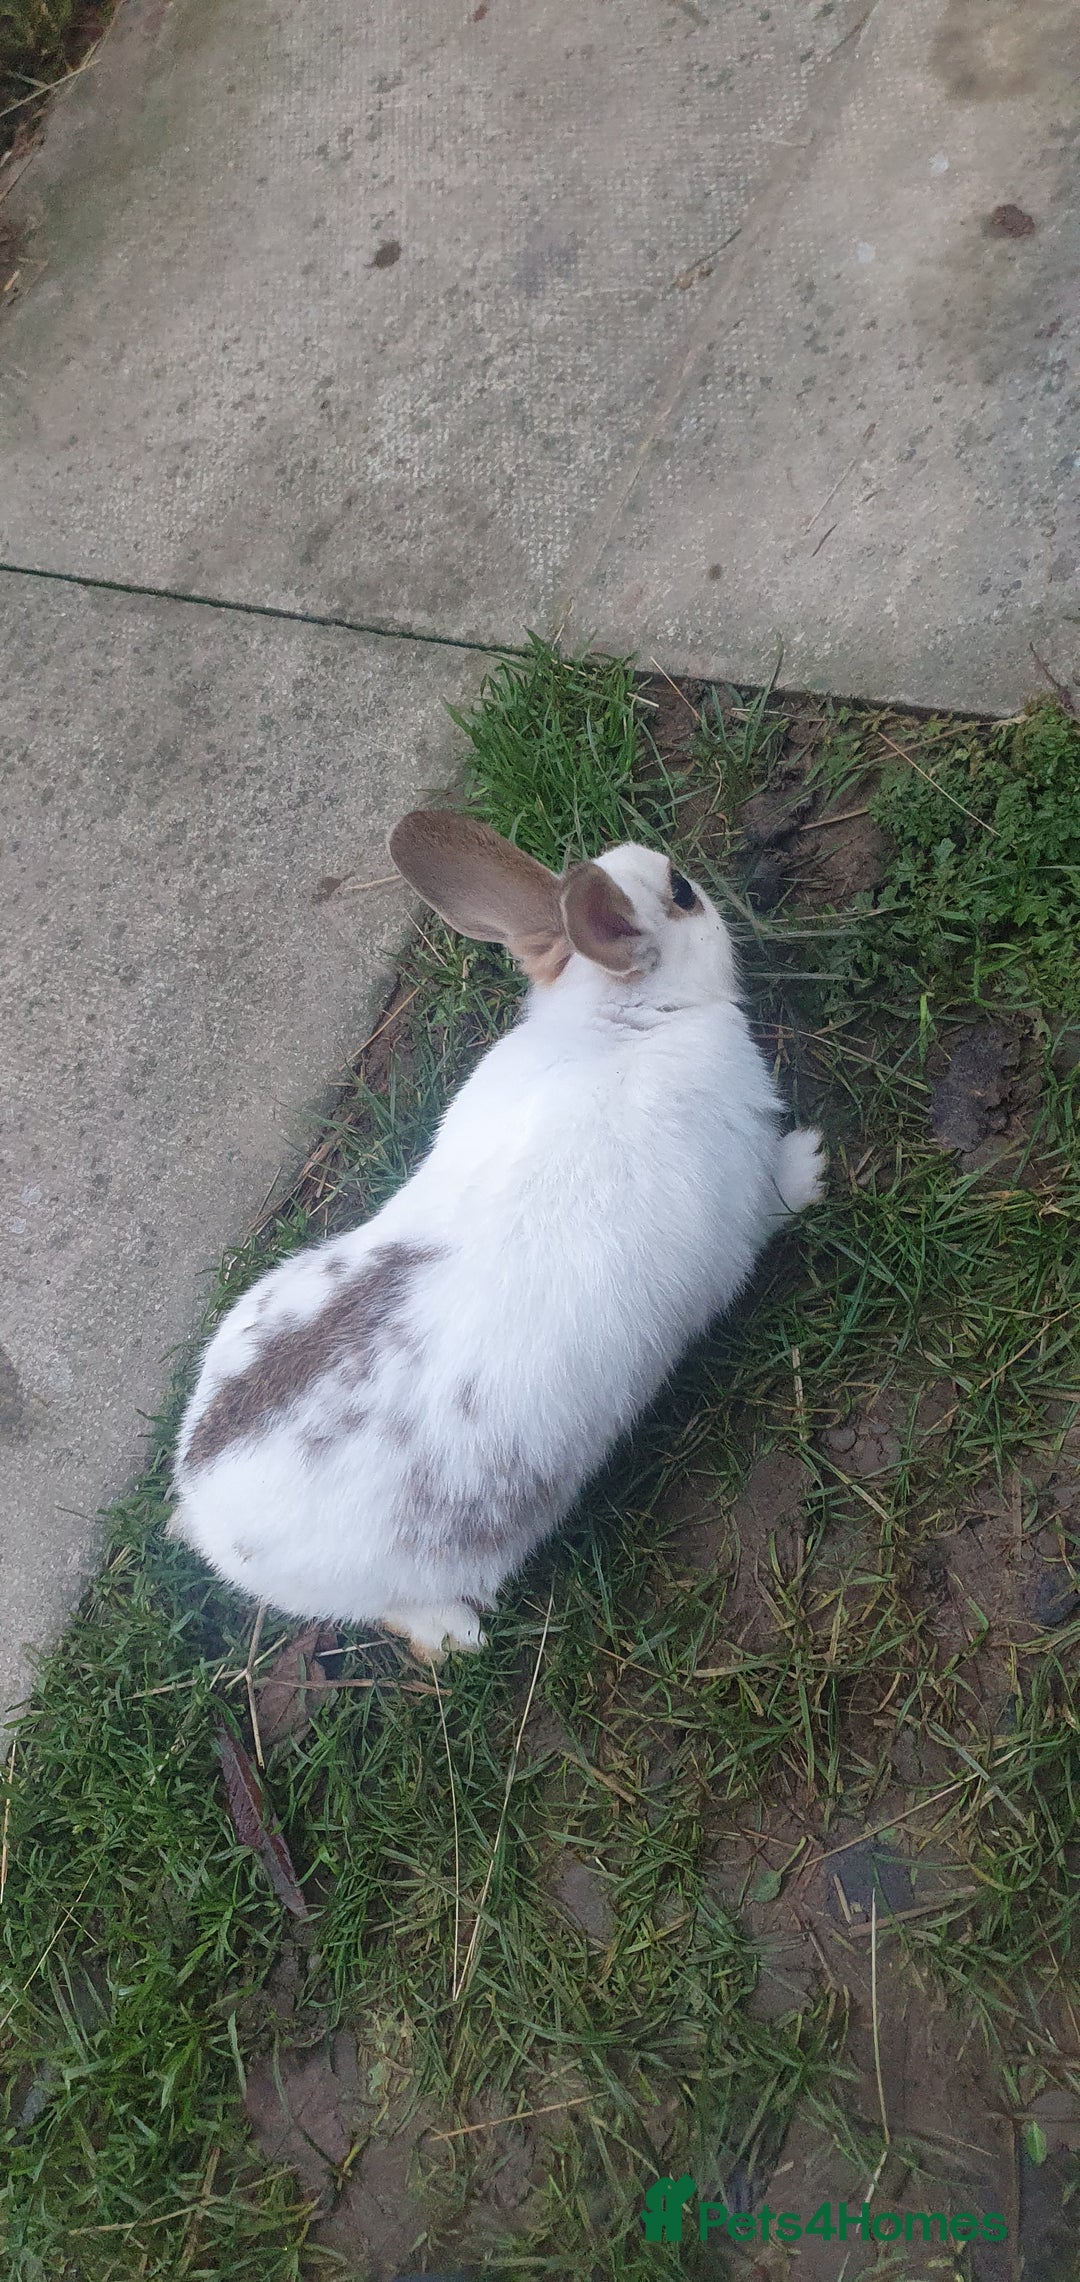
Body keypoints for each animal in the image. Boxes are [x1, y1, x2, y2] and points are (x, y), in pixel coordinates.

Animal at [169, 811, 825, 1660]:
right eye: (680, 892)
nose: (704, 882)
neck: (623, 1025)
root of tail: (207, 1520)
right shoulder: (744, 1193)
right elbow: (777, 1197)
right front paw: (815, 1164)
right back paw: (459, 1636)